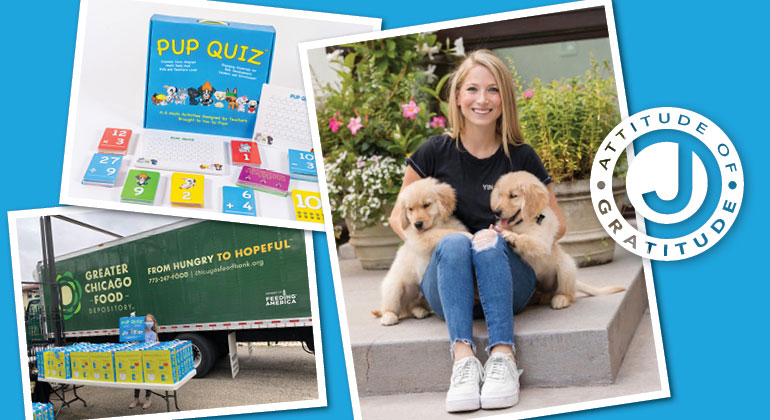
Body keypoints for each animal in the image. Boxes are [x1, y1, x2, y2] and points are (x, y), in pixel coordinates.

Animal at [372, 177, 468, 324]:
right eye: (410, 209)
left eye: (426, 205)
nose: (417, 224)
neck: (438, 224)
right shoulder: (419, 238)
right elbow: (443, 233)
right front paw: (469, 235)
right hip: (393, 287)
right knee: (390, 307)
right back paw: (389, 317)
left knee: (413, 305)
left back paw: (419, 311)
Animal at [492, 170, 624, 308]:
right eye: (499, 196)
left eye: (513, 196)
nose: (496, 212)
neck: (522, 223)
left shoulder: (543, 244)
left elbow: (527, 239)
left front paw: (511, 236)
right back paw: (539, 298)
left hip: (566, 268)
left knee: (569, 294)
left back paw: (561, 299)